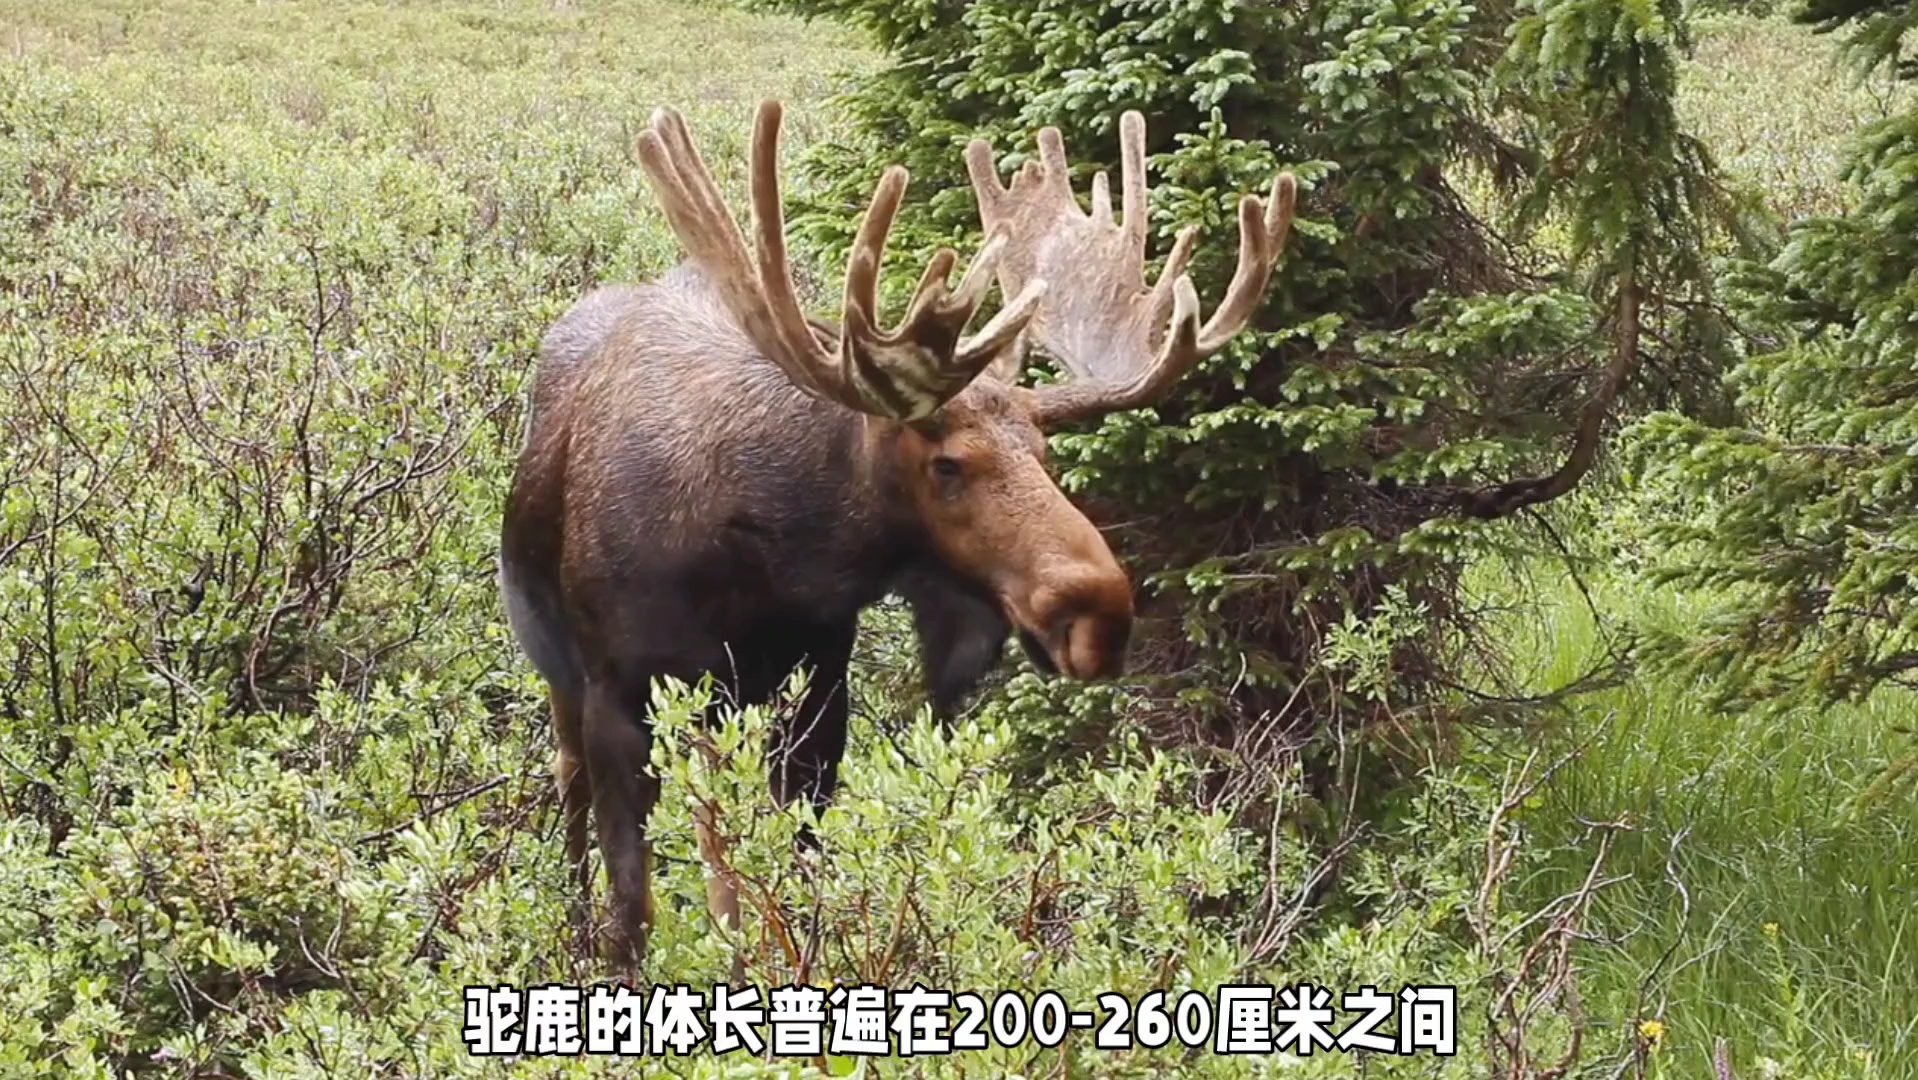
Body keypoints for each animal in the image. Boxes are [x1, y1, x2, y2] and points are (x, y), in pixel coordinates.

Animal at [498, 98, 1296, 971]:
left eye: (1045, 452)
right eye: (948, 464)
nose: (1101, 609)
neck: (761, 559)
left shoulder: (818, 687)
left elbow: (787, 882)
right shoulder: (619, 691)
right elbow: (634, 912)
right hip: (566, 677)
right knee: (573, 789)